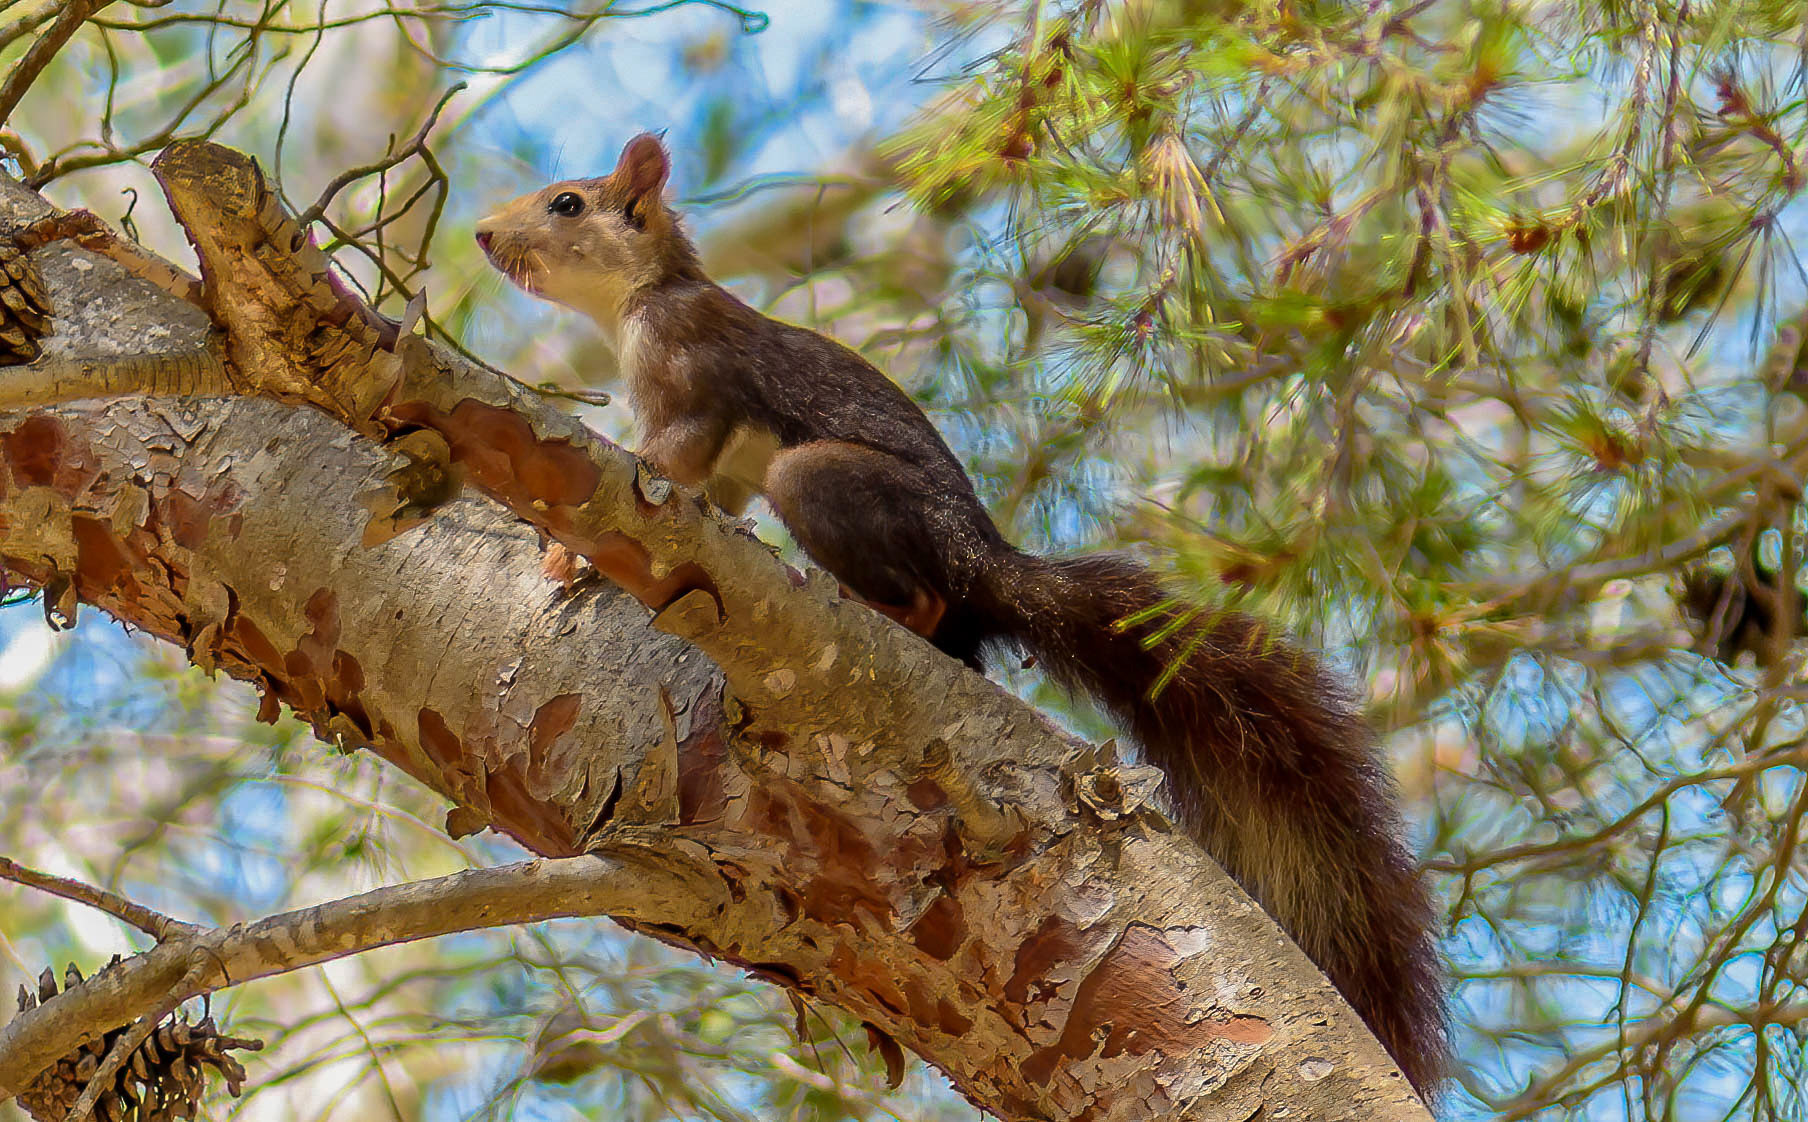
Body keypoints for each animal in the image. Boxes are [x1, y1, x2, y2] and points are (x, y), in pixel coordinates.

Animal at [475, 133, 1447, 1094]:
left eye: (567, 202)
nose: (483, 235)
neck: (638, 298)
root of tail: (984, 559)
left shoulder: (690, 368)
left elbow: (670, 460)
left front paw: (569, 550)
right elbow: (707, 494)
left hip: (823, 481)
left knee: (923, 592)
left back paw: (874, 602)